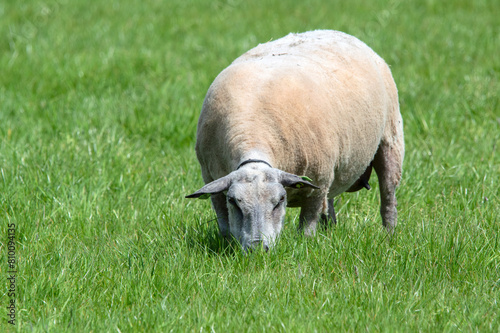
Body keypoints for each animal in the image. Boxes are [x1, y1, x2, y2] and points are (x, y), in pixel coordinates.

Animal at [186, 29, 404, 250]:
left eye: (279, 201)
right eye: (233, 201)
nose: (258, 248)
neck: (253, 131)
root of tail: (337, 32)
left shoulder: (318, 185)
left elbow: (307, 227)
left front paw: (305, 247)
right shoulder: (212, 182)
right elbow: (224, 226)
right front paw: (229, 244)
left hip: (391, 139)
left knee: (388, 196)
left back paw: (389, 237)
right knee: (330, 206)